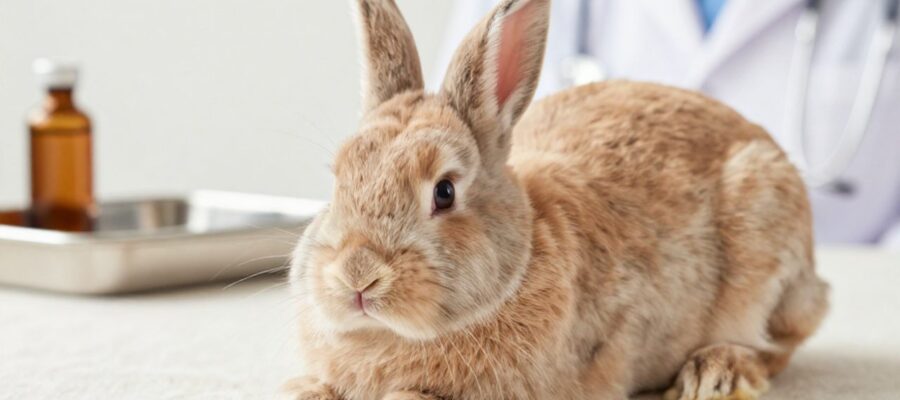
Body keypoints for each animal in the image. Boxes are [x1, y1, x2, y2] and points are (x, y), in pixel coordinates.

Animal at [286, 0, 830, 399]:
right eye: (338, 178)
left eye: (444, 192)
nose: (357, 275)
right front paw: (305, 389)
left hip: (764, 254)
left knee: (777, 343)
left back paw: (715, 373)